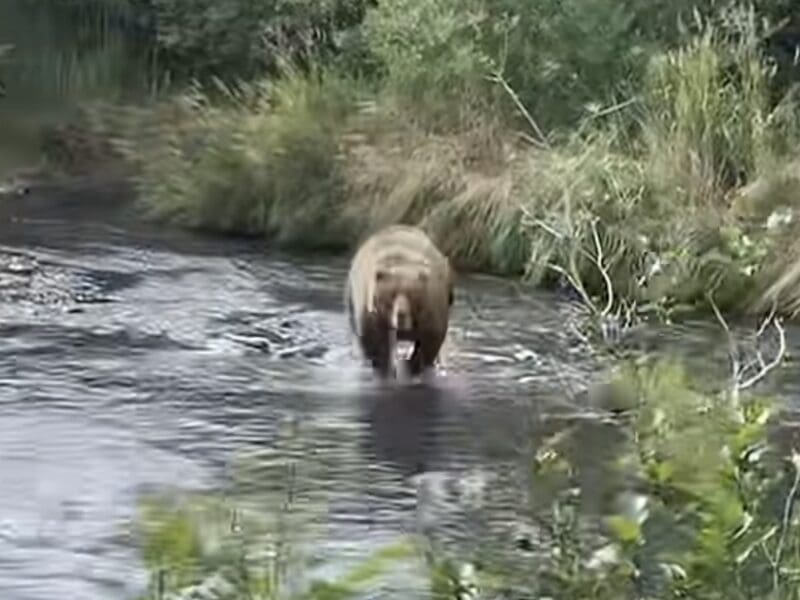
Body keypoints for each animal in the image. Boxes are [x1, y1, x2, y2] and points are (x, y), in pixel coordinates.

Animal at [344, 224, 455, 380]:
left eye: (412, 296)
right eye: (391, 296)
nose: (400, 315)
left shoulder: (431, 310)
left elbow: (430, 342)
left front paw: (416, 367)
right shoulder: (373, 312)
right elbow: (375, 343)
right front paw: (384, 367)